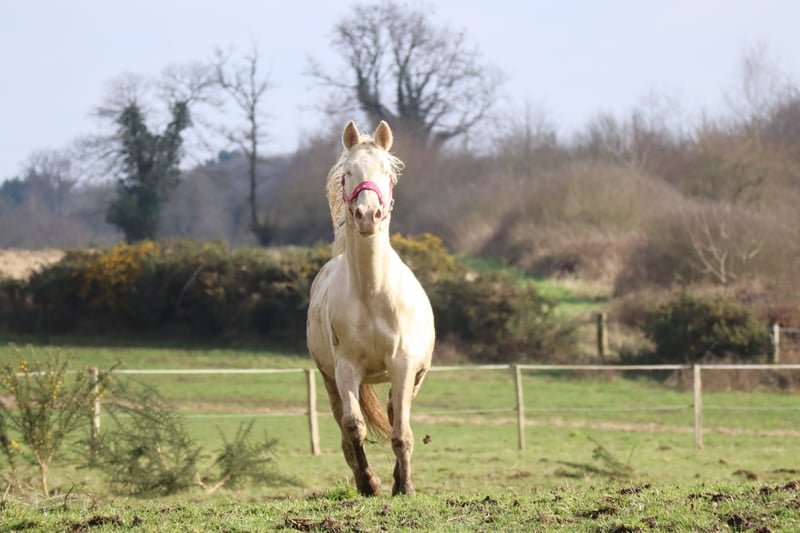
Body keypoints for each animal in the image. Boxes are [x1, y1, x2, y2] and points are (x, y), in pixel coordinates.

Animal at [306, 120, 435, 496]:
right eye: (348, 173)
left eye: (387, 174)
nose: (367, 216)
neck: (372, 293)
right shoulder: (345, 369)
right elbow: (354, 426)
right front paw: (370, 483)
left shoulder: (404, 366)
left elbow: (401, 432)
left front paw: (404, 487)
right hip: (328, 379)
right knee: (345, 426)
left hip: (414, 376)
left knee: (394, 413)